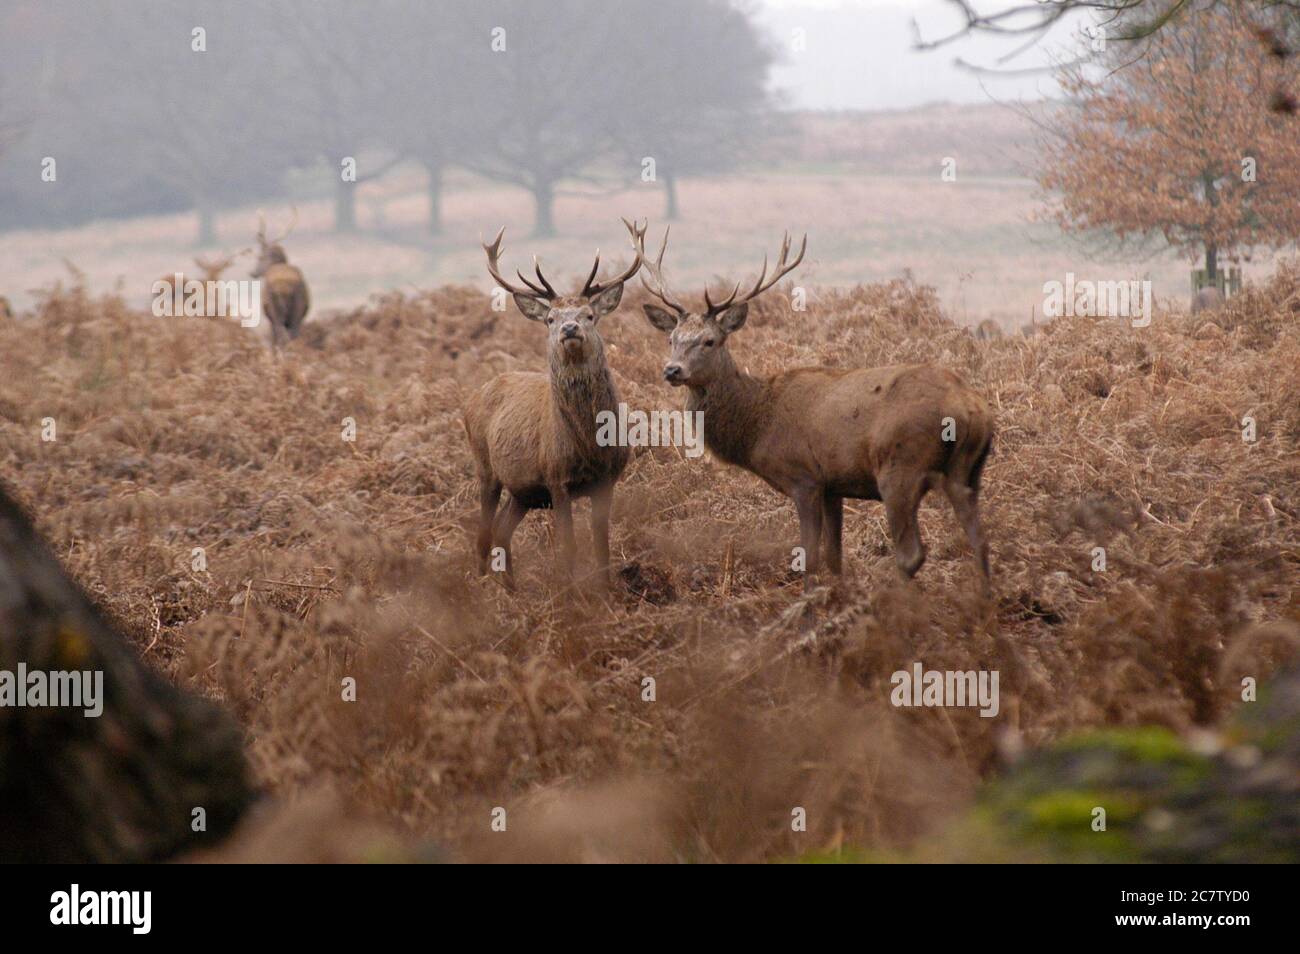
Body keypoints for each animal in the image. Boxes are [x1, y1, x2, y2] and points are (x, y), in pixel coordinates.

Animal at [256, 209, 312, 348]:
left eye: (259, 257)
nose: (252, 272)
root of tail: (284, 286)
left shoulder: (269, 316)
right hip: (296, 311)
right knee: (293, 335)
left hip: (277, 311)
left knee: (281, 336)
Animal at [467, 219, 650, 590]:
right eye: (550, 318)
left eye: (589, 314)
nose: (569, 327)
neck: (589, 446)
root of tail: (471, 399)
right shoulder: (557, 478)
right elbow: (569, 544)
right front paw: (569, 594)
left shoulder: (608, 479)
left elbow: (601, 541)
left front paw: (607, 591)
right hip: (485, 466)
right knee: (484, 531)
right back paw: (485, 588)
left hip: (523, 491)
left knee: (502, 531)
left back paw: (512, 589)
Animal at [637, 228, 993, 595]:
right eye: (672, 339)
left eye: (709, 341)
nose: (672, 370)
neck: (758, 424)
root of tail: (969, 406)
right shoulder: (833, 485)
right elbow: (834, 557)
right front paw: (837, 596)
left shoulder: (803, 477)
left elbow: (809, 557)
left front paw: (810, 603)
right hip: (967, 470)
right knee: (980, 539)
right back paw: (984, 600)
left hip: (900, 468)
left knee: (912, 553)